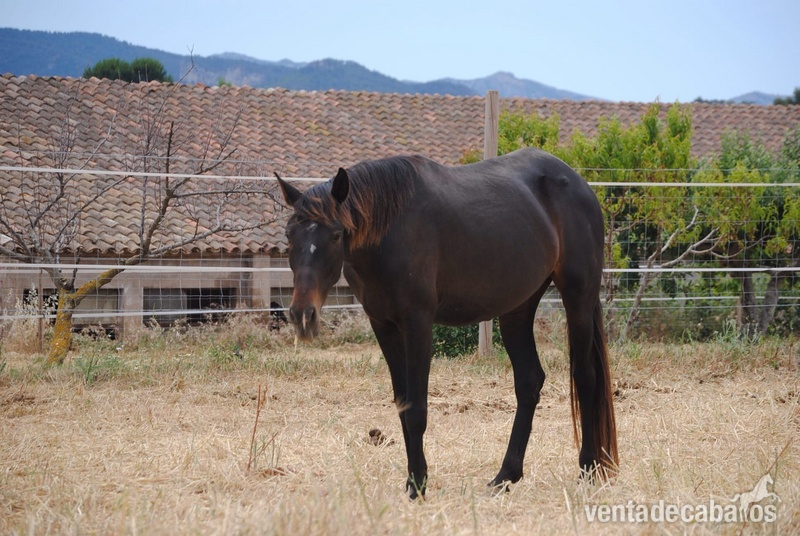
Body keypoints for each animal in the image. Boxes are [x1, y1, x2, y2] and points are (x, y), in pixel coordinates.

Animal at [275, 147, 618, 499]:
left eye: (335, 234)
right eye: (289, 235)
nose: (302, 314)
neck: (391, 228)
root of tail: (580, 184)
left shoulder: (418, 321)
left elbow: (416, 409)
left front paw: (417, 486)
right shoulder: (383, 324)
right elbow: (403, 404)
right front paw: (415, 479)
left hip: (578, 296)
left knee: (585, 378)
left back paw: (588, 468)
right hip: (518, 308)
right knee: (529, 382)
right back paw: (505, 476)